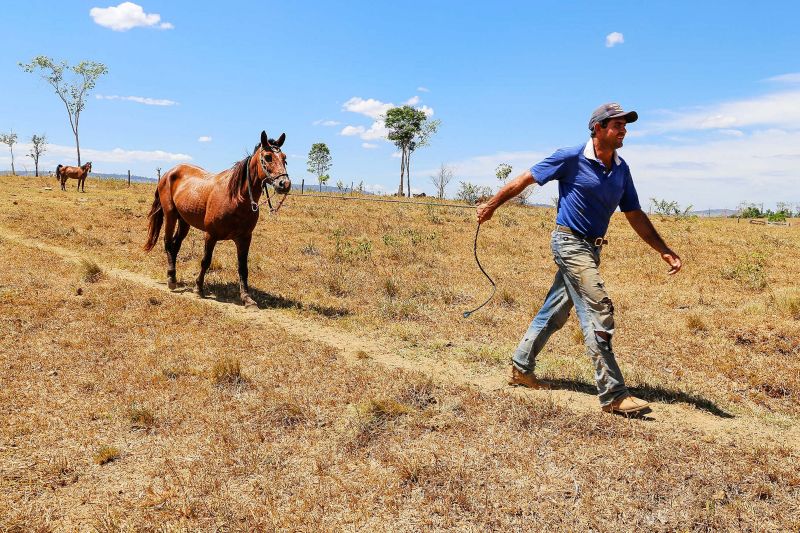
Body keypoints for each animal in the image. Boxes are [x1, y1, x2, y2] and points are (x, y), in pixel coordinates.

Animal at [145, 130, 292, 308]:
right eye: (268, 157)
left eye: (284, 158)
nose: (284, 184)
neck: (236, 198)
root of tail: (168, 173)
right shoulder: (211, 235)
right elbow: (206, 261)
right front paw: (198, 288)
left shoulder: (245, 238)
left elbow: (243, 267)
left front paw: (247, 298)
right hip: (171, 215)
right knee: (167, 242)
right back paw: (171, 279)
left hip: (184, 221)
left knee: (175, 245)